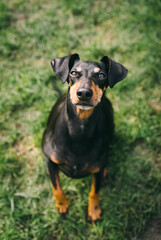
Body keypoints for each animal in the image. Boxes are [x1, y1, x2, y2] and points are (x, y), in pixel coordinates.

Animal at [41, 53, 128, 222]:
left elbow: (95, 191)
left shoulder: (97, 170)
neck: (79, 127)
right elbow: (56, 187)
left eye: (101, 75)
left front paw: (94, 210)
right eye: (74, 72)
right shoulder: (49, 159)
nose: (84, 93)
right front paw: (62, 205)